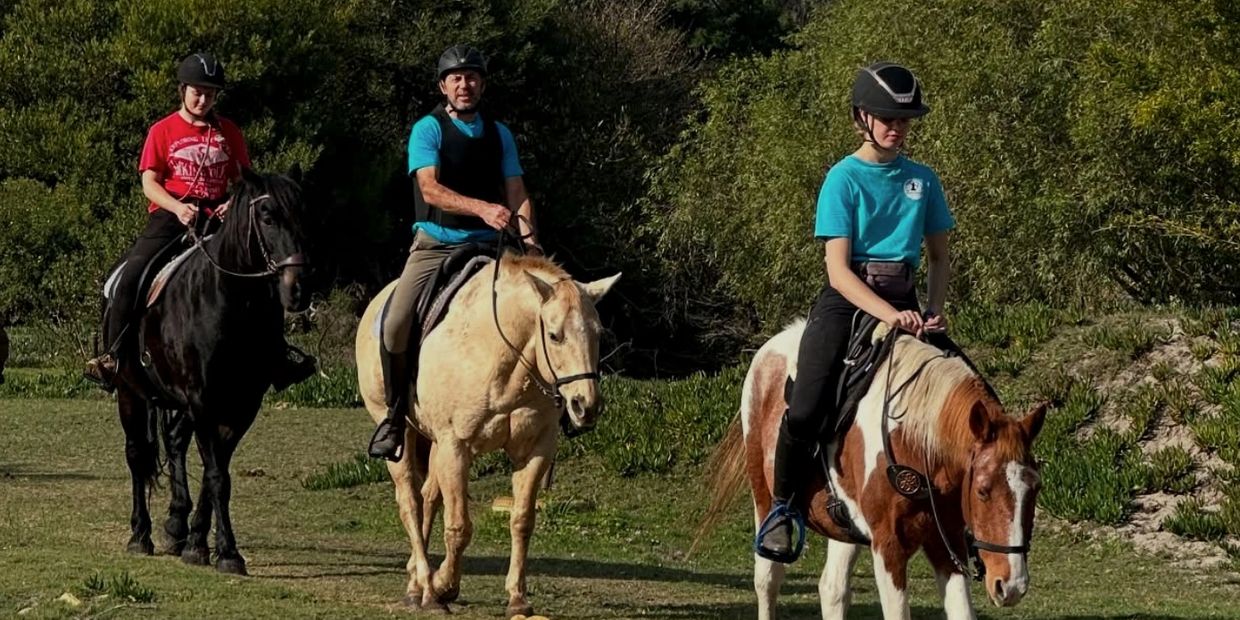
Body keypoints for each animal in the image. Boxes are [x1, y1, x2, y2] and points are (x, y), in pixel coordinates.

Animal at [111, 166, 311, 576]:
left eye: (304, 215)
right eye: (267, 216)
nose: (299, 289)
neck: (229, 303)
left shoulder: (241, 404)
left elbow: (213, 472)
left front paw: (198, 542)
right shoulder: (203, 400)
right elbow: (217, 474)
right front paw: (228, 552)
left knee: (173, 440)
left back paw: (175, 524)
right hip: (130, 392)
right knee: (137, 454)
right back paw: (141, 535)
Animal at [356, 252, 619, 617]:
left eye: (599, 335)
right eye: (554, 335)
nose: (586, 406)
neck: (501, 355)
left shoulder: (535, 450)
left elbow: (522, 521)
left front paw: (517, 598)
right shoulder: (456, 447)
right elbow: (459, 526)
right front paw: (443, 586)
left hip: (434, 444)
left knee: (428, 498)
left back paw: (416, 583)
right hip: (402, 435)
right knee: (410, 503)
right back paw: (424, 585)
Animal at [695, 320, 1047, 620]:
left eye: (1035, 489)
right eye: (983, 491)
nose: (1011, 586)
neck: (916, 443)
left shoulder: (945, 542)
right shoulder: (888, 546)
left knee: (832, 589)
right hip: (763, 495)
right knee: (767, 578)